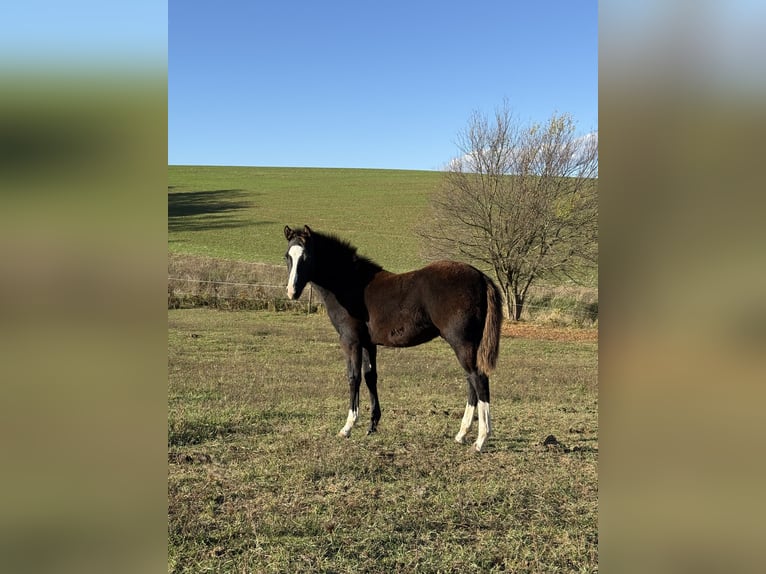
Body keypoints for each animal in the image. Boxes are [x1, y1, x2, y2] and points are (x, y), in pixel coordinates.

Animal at [283, 225, 503, 451]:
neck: (350, 283)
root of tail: (480, 277)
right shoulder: (368, 344)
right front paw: (372, 425)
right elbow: (370, 377)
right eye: (287, 256)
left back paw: (481, 439)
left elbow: (354, 377)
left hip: (461, 343)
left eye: (307, 256)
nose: (292, 292)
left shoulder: (350, 341)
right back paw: (461, 434)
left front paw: (347, 427)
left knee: (478, 378)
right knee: (471, 380)